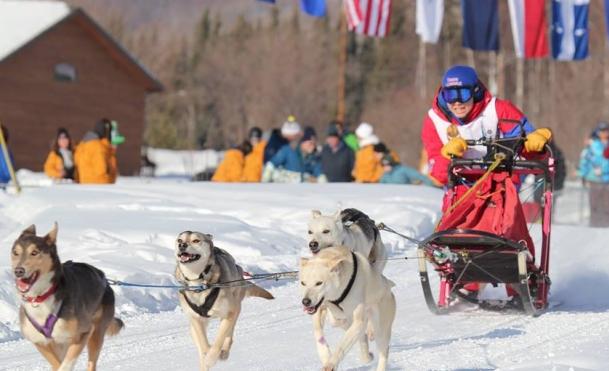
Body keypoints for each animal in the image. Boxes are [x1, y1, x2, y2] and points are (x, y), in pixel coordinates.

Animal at [10, 224, 123, 371]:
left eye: (34, 252)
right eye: (15, 253)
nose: (18, 271)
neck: (41, 296)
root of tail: (104, 278)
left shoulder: (82, 334)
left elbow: (65, 365)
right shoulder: (41, 342)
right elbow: (57, 364)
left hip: (96, 335)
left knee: (91, 363)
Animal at [173, 231, 274, 370]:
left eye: (196, 240)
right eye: (179, 240)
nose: (182, 245)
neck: (198, 282)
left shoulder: (230, 312)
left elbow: (219, 339)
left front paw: (211, 358)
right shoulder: (195, 319)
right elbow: (203, 344)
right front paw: (206, 356)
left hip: (234, 310)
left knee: (229, 335)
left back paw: (224, 352)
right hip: (194, 327)